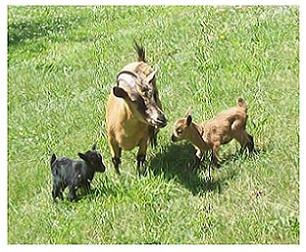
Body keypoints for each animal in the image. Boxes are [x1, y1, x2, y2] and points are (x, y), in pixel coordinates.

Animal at [106, 43, 167, 175]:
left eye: (153, 94)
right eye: (134, 100)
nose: (161, 119)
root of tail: (140, 61)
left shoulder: (144, 138)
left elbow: (140, 157)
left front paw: (140, 174)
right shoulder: (112, 140)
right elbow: (115, 160)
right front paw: (118, 176)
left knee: (154, 134)